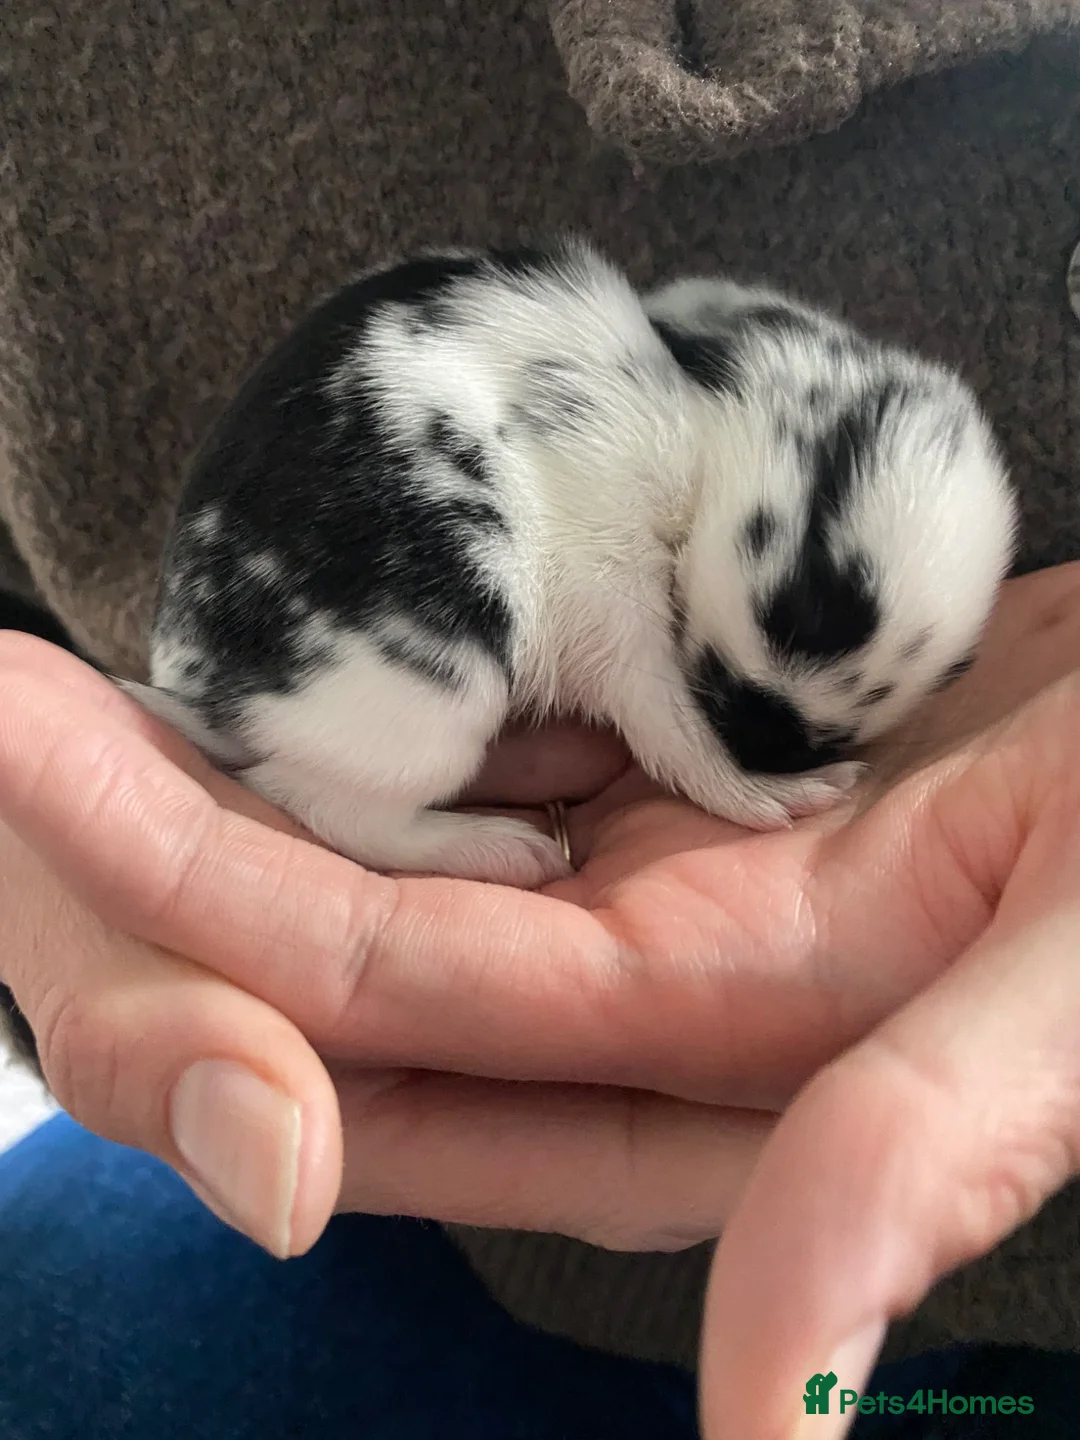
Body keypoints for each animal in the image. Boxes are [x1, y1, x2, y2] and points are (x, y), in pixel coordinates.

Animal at [120, 236, 1017, 886]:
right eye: (798, 601)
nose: (770, 747)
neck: (704, 415)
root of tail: (203, 692)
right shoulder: (614, 596)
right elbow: (671, 730)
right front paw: (764, 798)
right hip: (442, 692)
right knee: (321, 804)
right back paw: (498, 850)